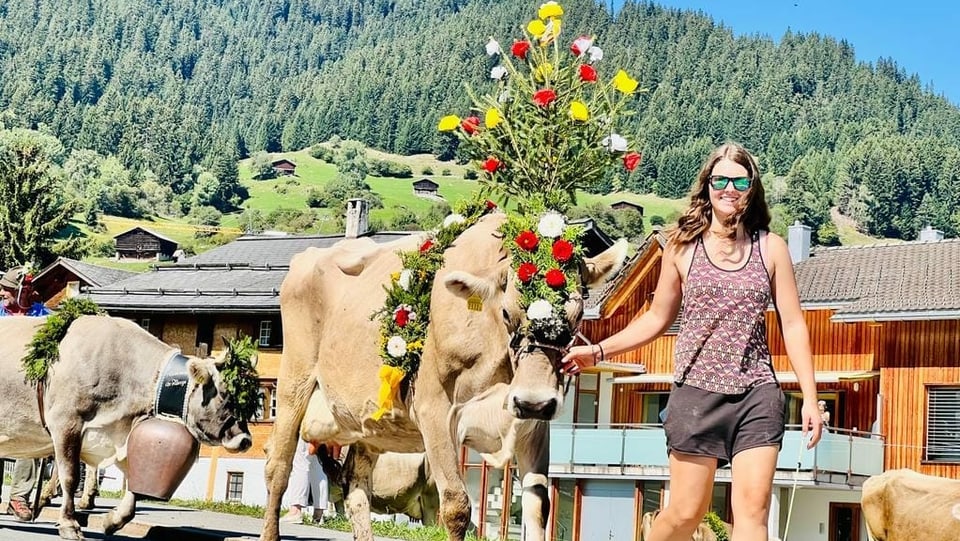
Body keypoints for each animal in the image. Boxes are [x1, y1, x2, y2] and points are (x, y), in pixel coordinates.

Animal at [258, 212, 628, 540]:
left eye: (577, 316)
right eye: (507, 312)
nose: (534, 401)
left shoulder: (532, 426)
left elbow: (539, 508)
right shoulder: (434, 409)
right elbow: (456, 506)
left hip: (371, 424)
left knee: (356, 488)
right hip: (294, 379)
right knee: (278, 466)